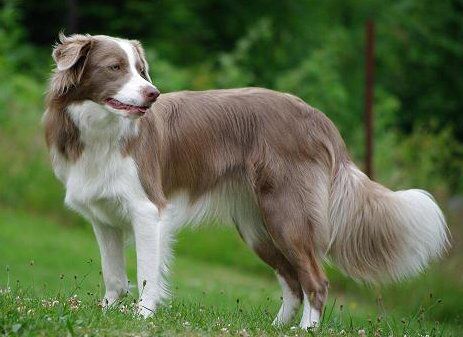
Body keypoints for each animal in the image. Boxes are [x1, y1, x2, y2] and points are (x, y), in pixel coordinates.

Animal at [43, 32, 450, 326]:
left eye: (141, 70)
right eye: (115, 67)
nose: (153, 94)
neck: (101, 130)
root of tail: (317, 117)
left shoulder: (147, 210)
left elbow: (146, 274)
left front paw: (142, 317)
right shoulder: (104, 218)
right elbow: (114, 276)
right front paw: (107, 314)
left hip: (287, 216)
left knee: (315, 281)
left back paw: (305, 329)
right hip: (258, 227)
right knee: (293, 282)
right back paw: (276, 327)